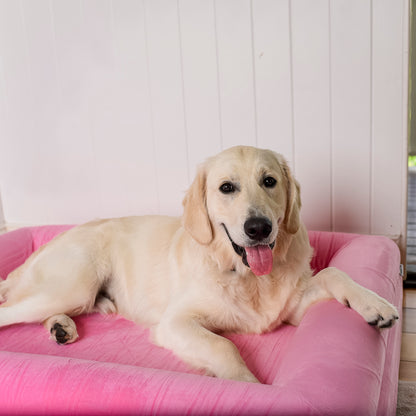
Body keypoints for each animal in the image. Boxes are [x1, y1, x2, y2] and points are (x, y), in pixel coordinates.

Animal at [0, 146, 400, 384]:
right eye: (227, 188)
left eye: (269, 181)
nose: (258, 228)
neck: (246, 275)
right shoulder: (176, 322)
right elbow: (224, 347)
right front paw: (247, 387)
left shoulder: (292, 307)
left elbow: (334, 272)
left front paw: (375, 304)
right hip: (72, 284)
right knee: (11, 309)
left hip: (72, 295)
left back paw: (61, 328)